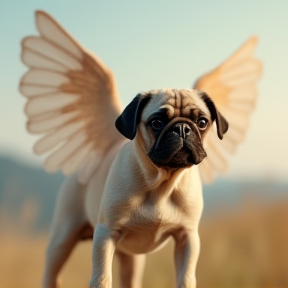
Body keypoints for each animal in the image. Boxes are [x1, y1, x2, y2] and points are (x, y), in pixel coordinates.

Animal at [19, 10, 260, 288]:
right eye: (156, 123)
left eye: (202, 122)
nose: (182, 129)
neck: (161, 182)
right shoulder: (106, 234)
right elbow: (102, 278)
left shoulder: (187, 238)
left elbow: (186, 276)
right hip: (62, 237)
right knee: (52, 271)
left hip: (130, 258)